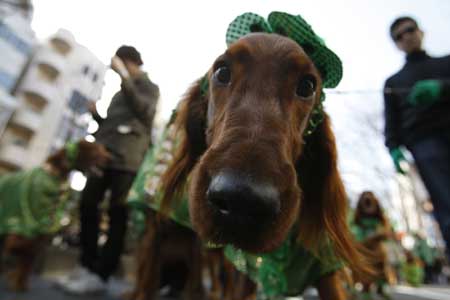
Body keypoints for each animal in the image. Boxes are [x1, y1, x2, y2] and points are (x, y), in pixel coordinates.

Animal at [0, 140, 110, 290]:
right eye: (96, 150)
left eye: (103, 150)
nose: (112, 158)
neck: (54, 175)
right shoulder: (24, 225)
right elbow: (22, 246)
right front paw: (14, 277)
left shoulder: (41, 227)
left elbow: (27, 258)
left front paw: (19, 282)